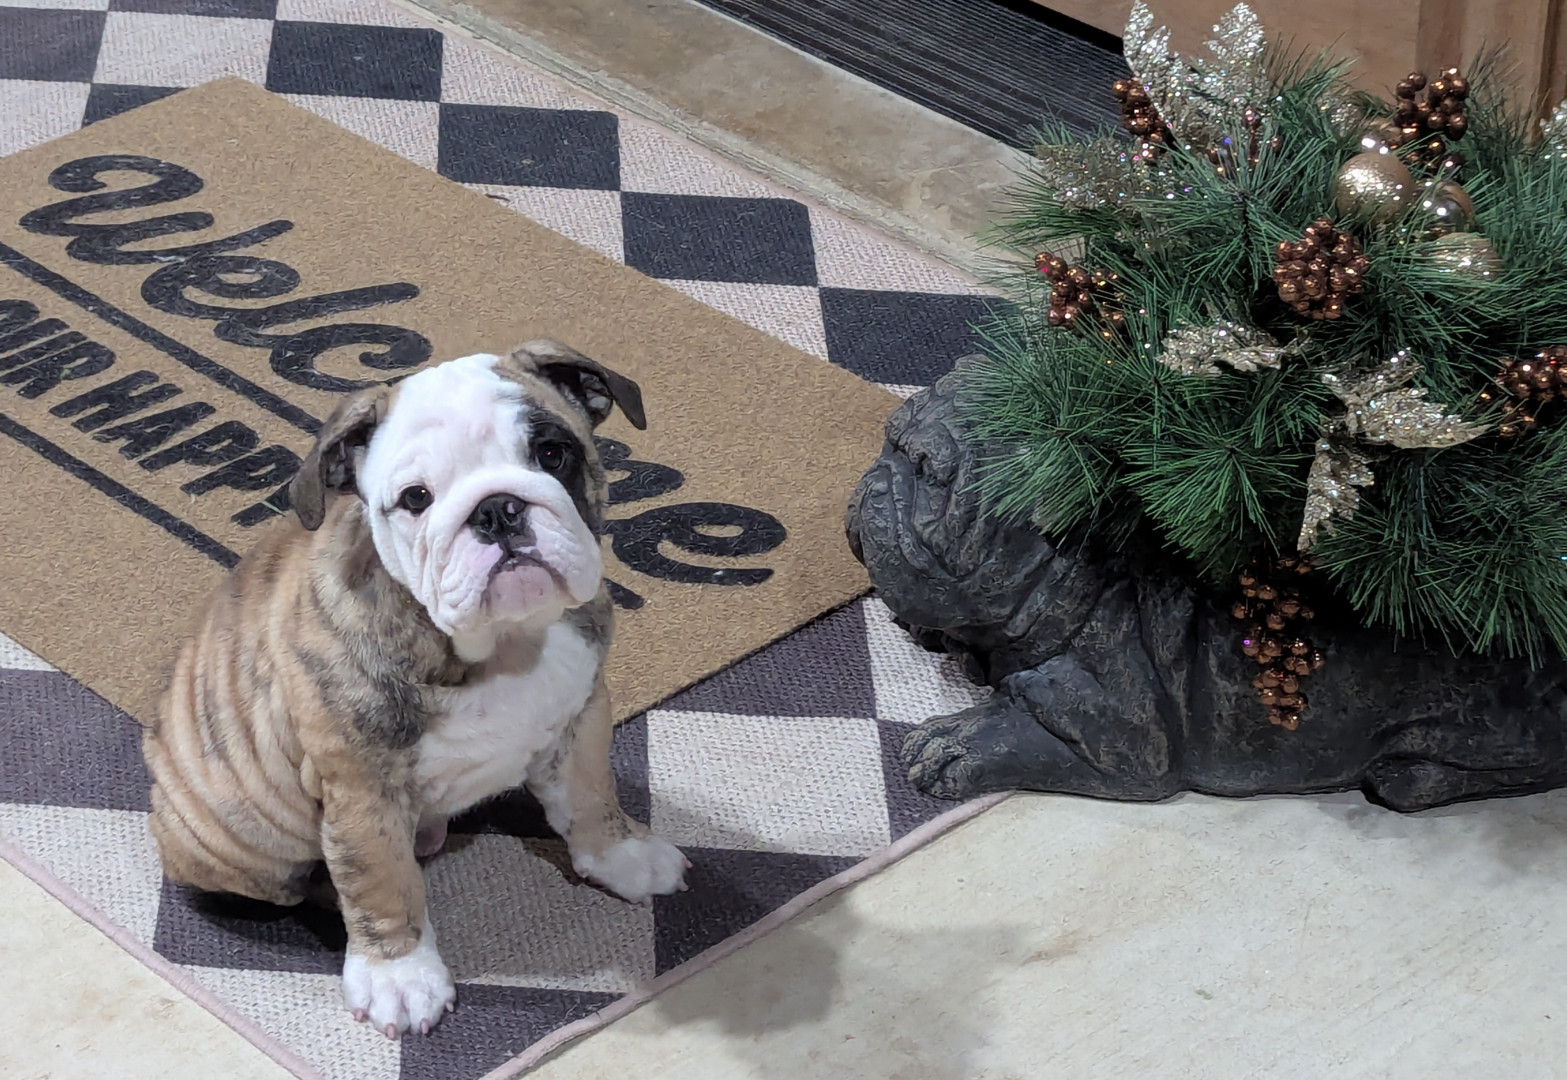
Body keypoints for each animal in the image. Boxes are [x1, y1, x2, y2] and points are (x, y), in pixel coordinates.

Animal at [140, 341, 689, 1038]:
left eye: (552, 453)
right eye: (415, 498)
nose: (498, 508)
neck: (503, 643)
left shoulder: (583, 714)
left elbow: (593, 795)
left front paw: (623, 857)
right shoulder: (360, 791)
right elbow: (381, 880)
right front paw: (399, 976)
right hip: (235, 837)